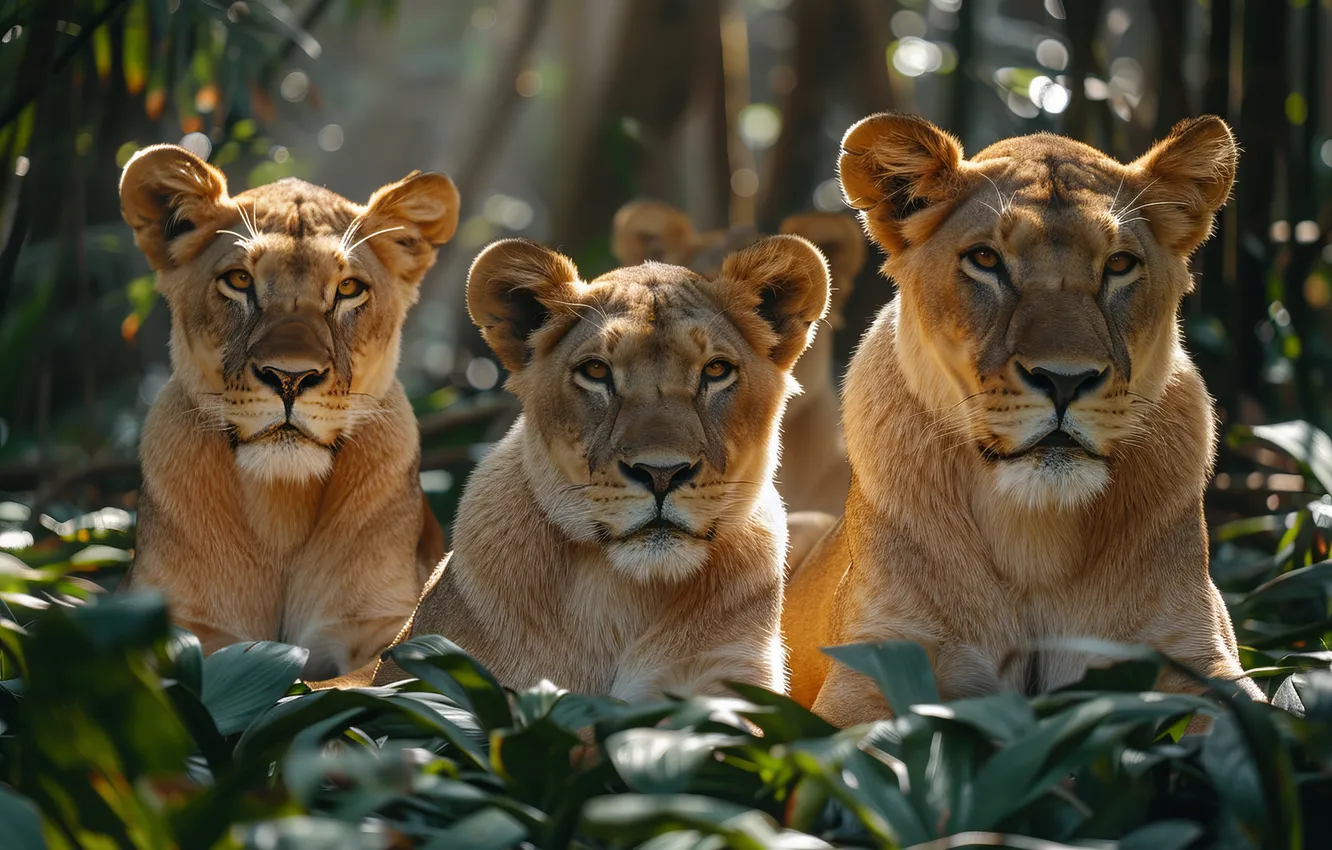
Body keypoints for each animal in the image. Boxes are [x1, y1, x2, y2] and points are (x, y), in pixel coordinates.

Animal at [784, 114, 1264, 725]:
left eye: (1119, 264)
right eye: (986, 260)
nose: (1064, 380)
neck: (1037, 532)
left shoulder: (1198, 656)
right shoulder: (875, 666)